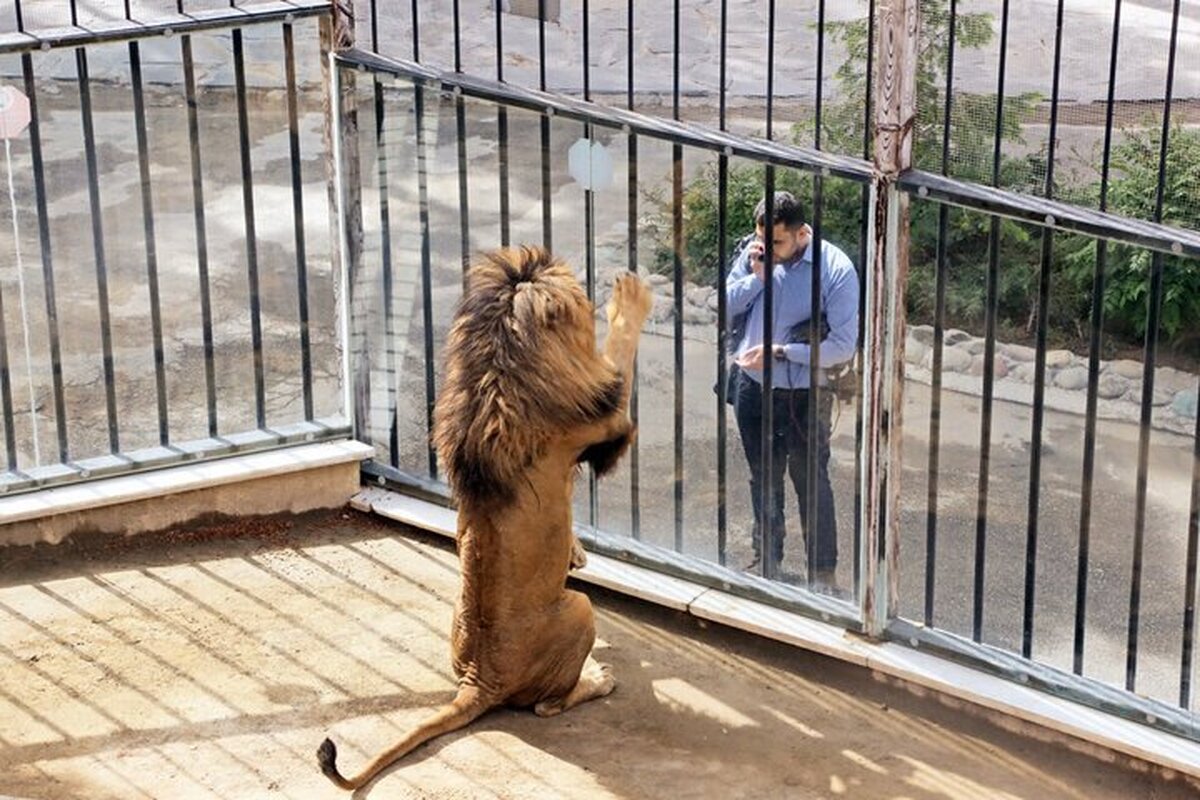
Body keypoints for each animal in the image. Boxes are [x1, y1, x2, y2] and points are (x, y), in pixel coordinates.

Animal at [319, 245, 652, 796]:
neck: (499, 368)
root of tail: (480, 680)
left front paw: (577, 551)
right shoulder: (605, 422)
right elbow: (620, 354)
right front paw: (629, 297)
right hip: (579, 609)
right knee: (546, 706)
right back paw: (597, 678)